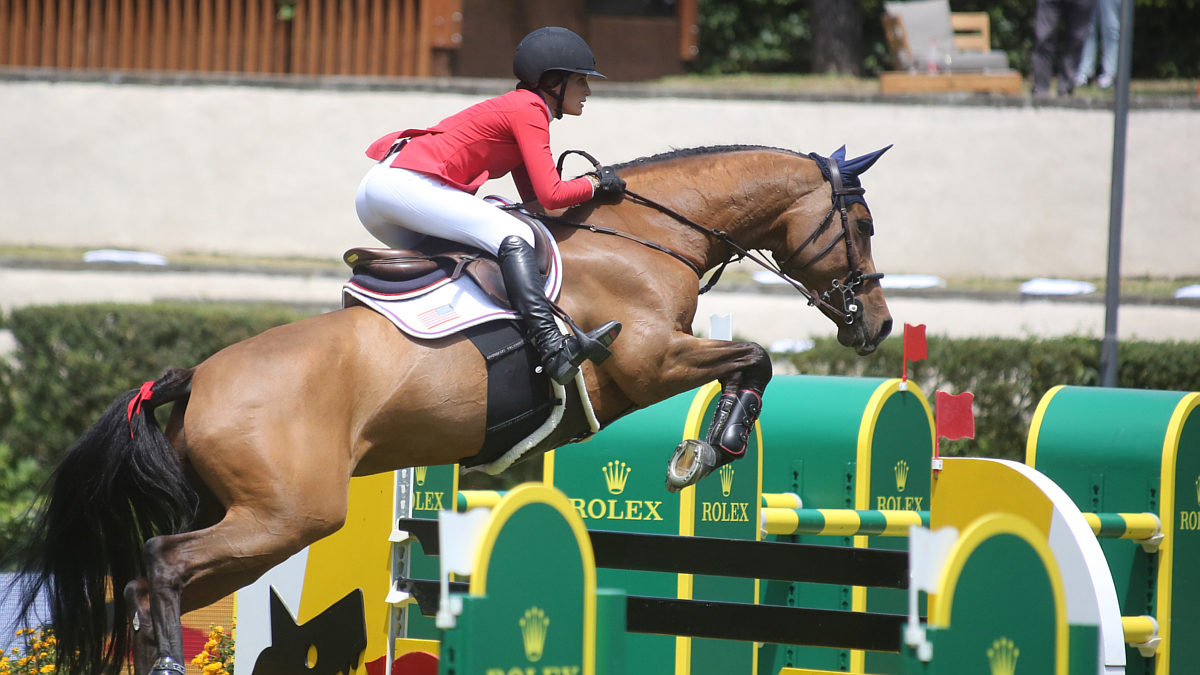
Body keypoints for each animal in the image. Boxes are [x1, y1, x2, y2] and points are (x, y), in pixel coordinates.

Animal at [10, 144, 892, 675]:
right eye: (862, 223)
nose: (879, 325)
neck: (643, 234)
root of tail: (196, 377)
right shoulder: (647, 360)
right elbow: (754, 357)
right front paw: (707, 449)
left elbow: (752, 360)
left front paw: (706, 446)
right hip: (285, 516)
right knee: (159, 563)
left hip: (255, 527)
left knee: (143, 587)